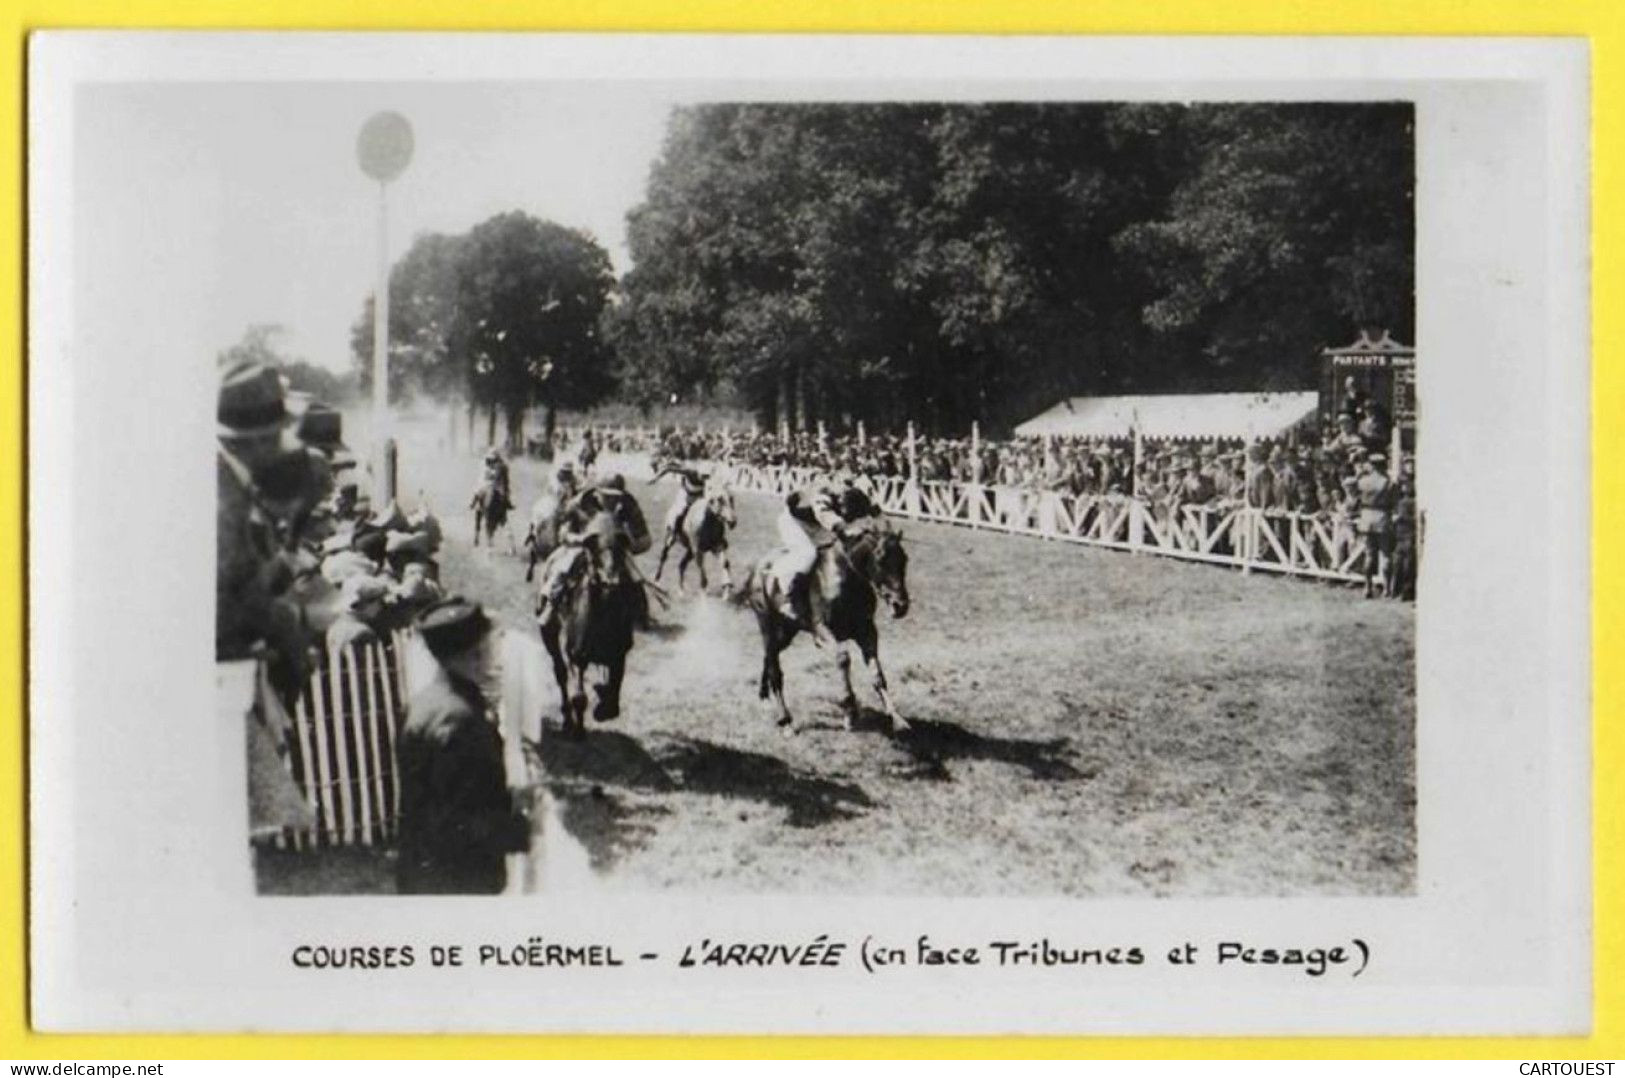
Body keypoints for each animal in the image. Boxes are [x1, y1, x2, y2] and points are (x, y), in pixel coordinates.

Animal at [536, 500, 643, 738]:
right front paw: (578, 731)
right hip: (550, 632)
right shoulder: (577, 656)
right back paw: (567, 720)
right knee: (560, 673)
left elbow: (613, 693)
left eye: (622, 539)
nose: (610, 580)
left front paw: (602, 704)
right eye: (591, 542)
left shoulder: (619, 654)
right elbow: (579, 696)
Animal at [741, 520, 916, 734]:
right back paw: (785, 719)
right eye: (881, 559)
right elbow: (843, 658)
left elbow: (877, 674)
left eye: (904, 559)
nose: (901, 606)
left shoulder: (867, 632)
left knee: (768, 657)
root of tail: (758, 568)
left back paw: (764, 697)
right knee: (775, 667)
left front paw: (897, 718)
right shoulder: (823, 631)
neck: (848, 579)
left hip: (787, 632)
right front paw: (850, 712)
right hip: (768, 624)